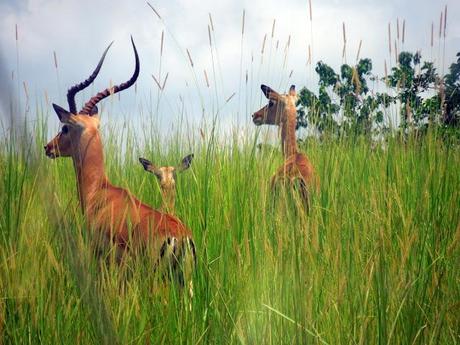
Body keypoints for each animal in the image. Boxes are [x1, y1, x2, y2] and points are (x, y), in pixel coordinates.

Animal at [45, 37, 198, 284]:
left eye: (65, 128)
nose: (49, 147)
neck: (99, 191)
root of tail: (181, 237)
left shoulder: (101, 257)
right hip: (187, 282)